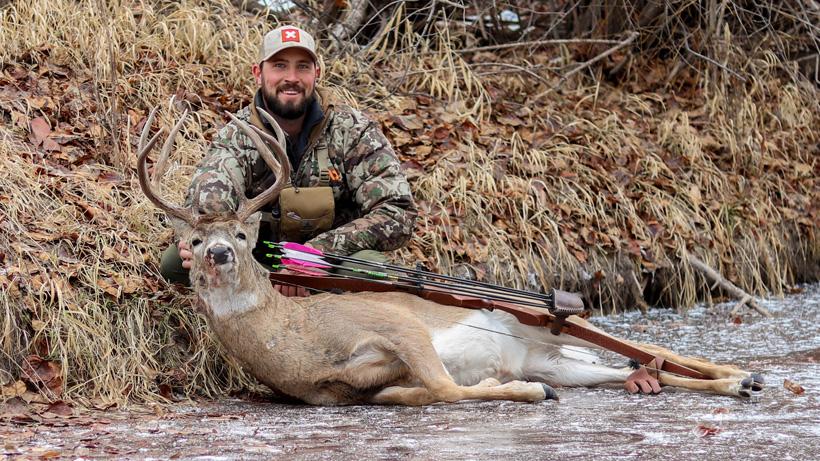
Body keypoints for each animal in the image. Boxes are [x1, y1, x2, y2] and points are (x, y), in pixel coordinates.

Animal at [136, 108, 765, 406]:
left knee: (661, 348)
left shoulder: (397, 321)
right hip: (550, 356)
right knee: (630, 367)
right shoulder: (348, 390)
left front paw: (524, 395)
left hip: (545, 323)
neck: (299, 340)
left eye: (244, 237)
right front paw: (520, 390)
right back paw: (715, 382)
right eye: (195, 243)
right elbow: (423, 391)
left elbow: (444, 387)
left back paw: (746, 376)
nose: (218, 253)